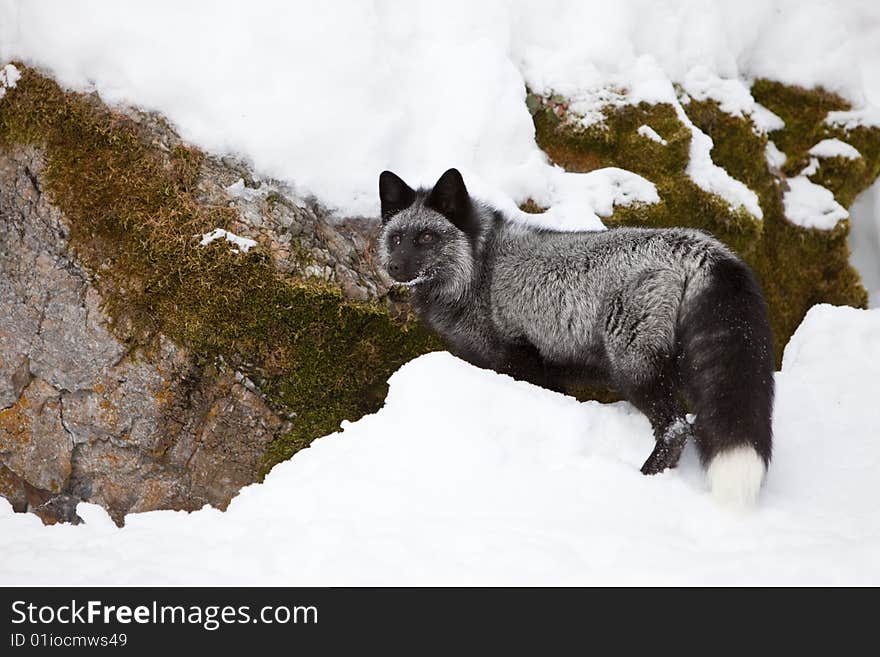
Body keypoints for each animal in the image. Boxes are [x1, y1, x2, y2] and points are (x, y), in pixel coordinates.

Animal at [374, 167, 772, 504]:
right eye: (397, 238)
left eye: (427, 236)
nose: (393, 267)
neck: (478, 270)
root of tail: (693, 243)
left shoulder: (518, 362)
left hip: (634, 368)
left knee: (675, 428)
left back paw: (644, 479)